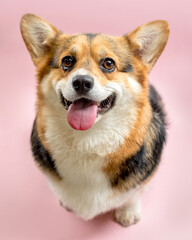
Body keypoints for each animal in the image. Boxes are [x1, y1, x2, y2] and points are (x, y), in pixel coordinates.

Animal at [19, 14, 170, 228]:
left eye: (108, 63)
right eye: (67, 61)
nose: (82, 82)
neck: (87, 139)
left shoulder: (143, 177)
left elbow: (133, 193)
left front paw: (128, 213)